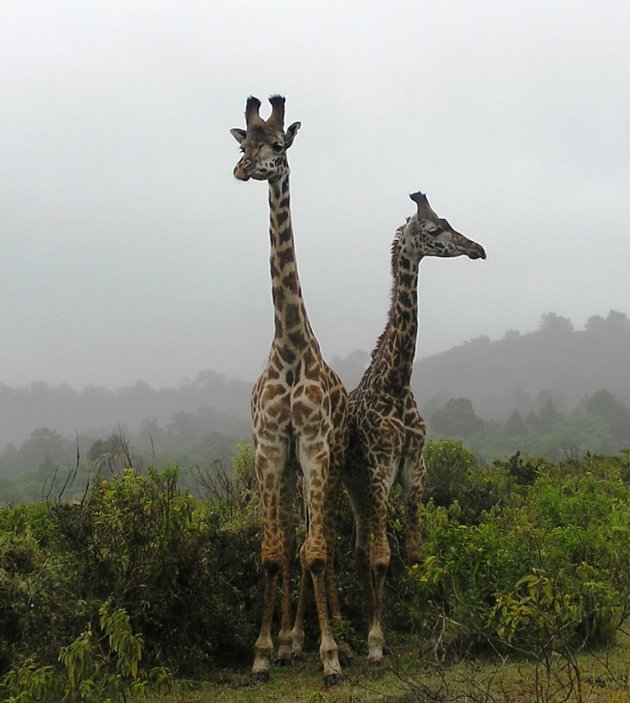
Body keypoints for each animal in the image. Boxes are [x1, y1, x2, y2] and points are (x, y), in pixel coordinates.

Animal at [344, 190, 486, 664]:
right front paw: (376, 640)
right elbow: (383, 557)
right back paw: (365, 626)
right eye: (435, 229)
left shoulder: (413, 469)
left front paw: (425, 626)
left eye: (449, 221)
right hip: (351, 485)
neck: (397, 381)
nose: (478, 248)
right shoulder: (379, 468)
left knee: (360, 549)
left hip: (364, 491)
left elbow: (416, 552)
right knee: (361, 551)